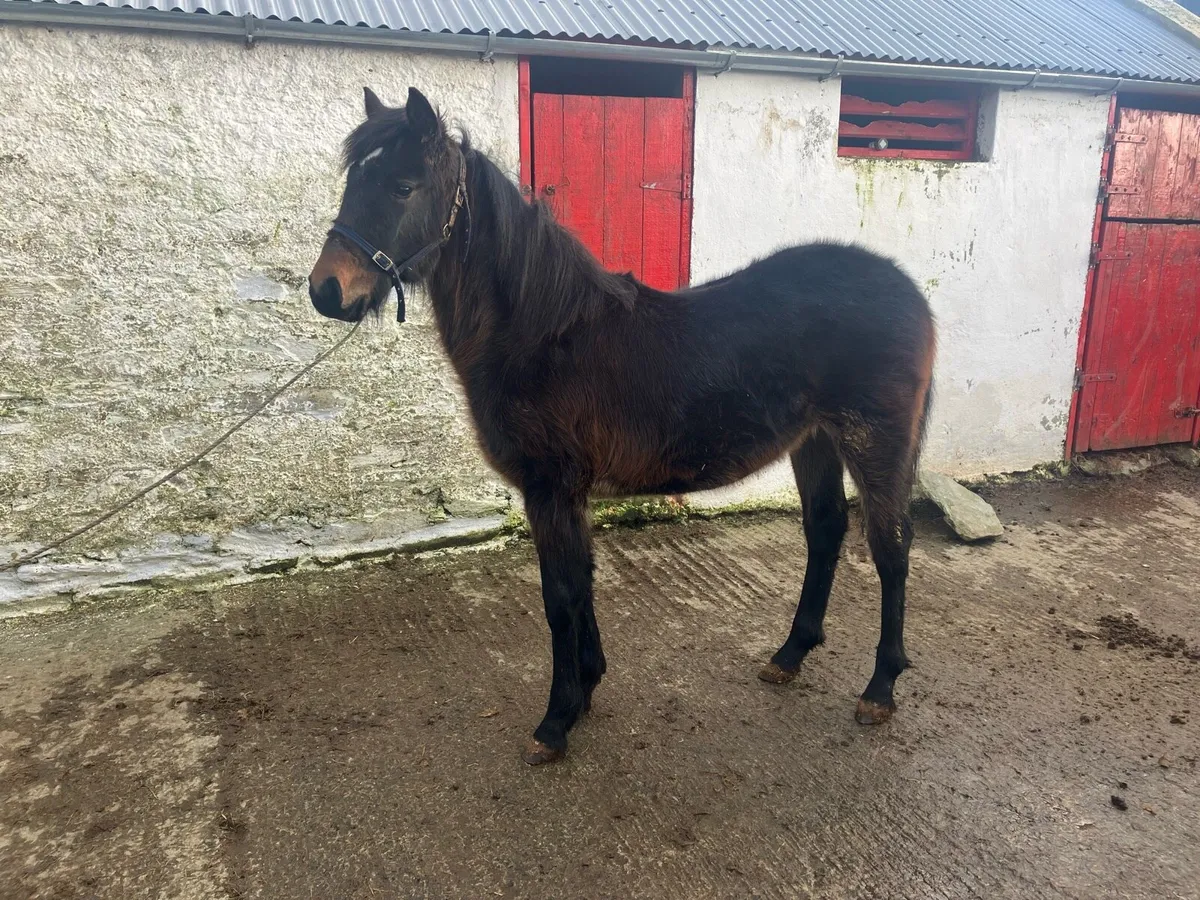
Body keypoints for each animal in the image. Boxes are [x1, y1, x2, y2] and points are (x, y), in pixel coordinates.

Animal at [308, 87, 937, 765]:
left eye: (403, 186)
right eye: (353, 180)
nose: (326, 290)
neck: (541, 334)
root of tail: (906, 289)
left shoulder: (550, 487)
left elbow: (560, 596)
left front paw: (555, 721)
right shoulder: (566, 492)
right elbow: (581, 582)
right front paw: (586, 690)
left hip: (874, 439)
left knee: (891, 547)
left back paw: (879, 688)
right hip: (815, 440)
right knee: (825, 531)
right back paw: (789, 656)